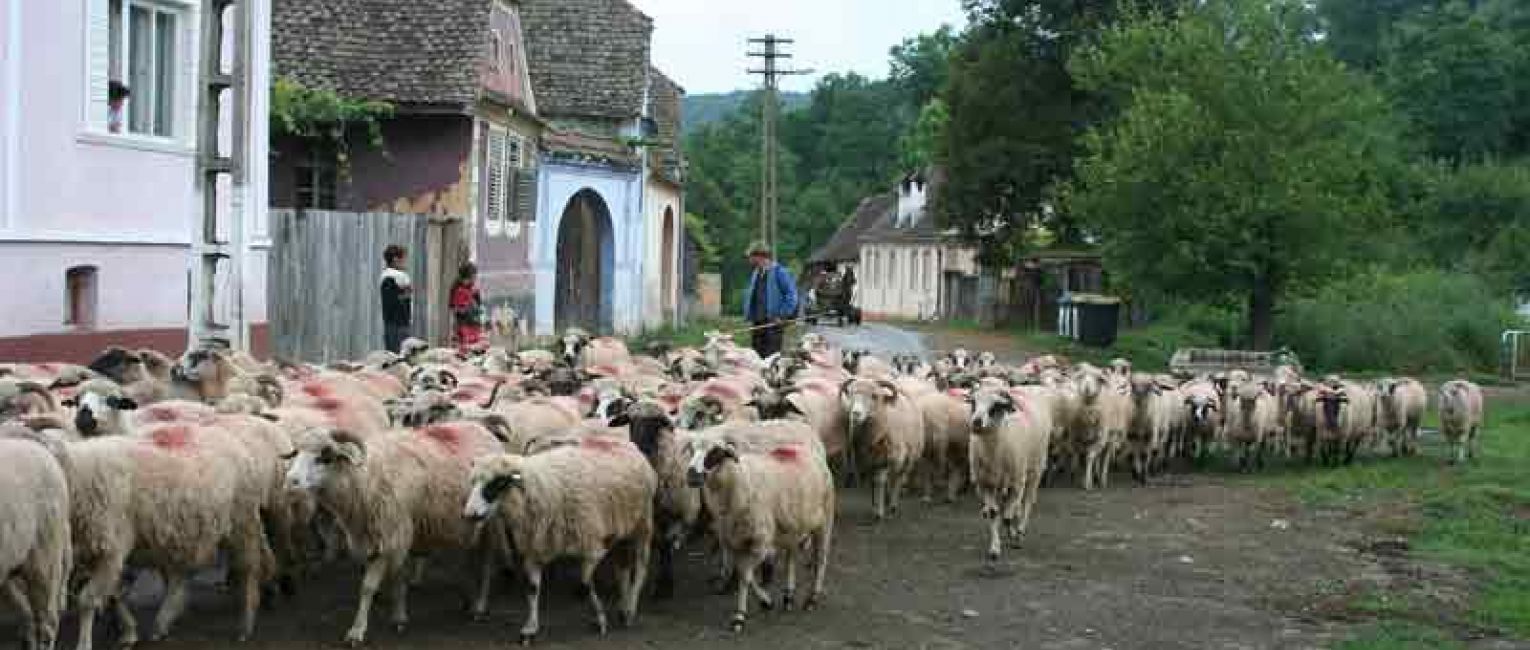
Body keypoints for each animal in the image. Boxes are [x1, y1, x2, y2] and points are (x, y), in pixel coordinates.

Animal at [289, 419, 517, 642]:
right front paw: (399, 617)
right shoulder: (387, 536)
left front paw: (357, 630)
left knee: (486, 565)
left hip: (490, 522)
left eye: (324, 457)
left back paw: (479, 606)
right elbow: (398, 578)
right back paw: (467, 595)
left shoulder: (391, 534)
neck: (367, 479)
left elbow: (367, 587)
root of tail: (482, 428)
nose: (291, 480)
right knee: (466, 559)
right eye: (297, 452)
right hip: (465, 524)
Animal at [465, 434, 657, 642]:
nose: (469, 514)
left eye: (498, 483)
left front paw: (599, 619)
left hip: (642, 524)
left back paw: (630, 608)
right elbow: (532, 588)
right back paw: (623, 606)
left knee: (640, 567)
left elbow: (584, 584)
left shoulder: (593, 546)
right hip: (621, 527)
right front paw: (530, 629)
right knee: (622, 567)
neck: (540, 490)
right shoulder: (534, 546)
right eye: (473, 482)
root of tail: (624, 442)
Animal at [844, 374, 924, 516]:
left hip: (907, 456)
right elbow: (872, 482)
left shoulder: (885, 460)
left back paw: (892, 504)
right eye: (851, 393)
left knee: (897, 478)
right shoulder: (866, 461)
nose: (856, 413)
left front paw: (879, 512)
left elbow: (880, 482)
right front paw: (874, 505)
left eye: (874, 395)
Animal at [966, 385, 1052, 562]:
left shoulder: (1016, 483)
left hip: (1035, 469)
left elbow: (1007, 516)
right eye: (973, 402)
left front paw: (1014, 538)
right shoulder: (984, 484)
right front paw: (994, 549)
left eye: (995, 406)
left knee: (1027, 502)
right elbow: (994, 513)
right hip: (1001, 482)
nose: (976, 422)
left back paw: (1020, 529)